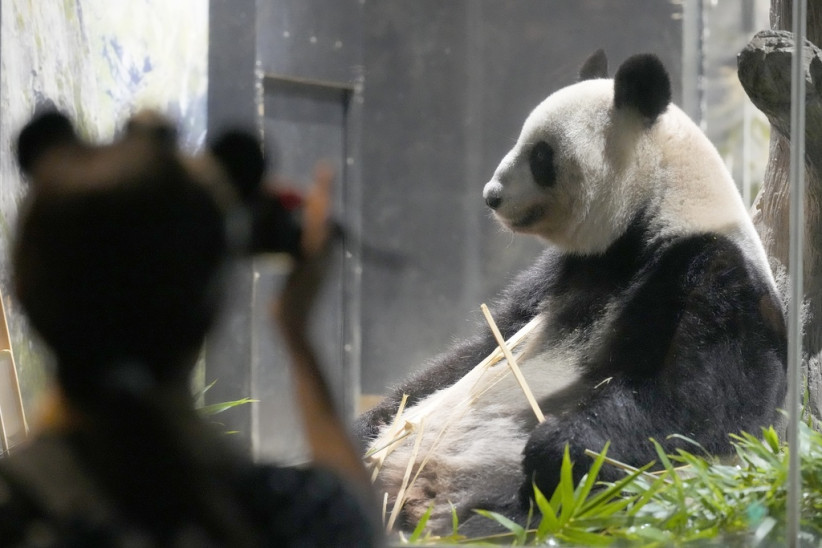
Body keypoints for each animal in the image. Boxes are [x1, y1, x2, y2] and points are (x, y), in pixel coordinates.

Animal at [355, 51, 787, 535]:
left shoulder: (715, 272)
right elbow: (475, 352)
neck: (658, 211)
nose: (492, 195)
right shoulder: (560, 275)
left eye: (541, 155)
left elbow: (702, 401)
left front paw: (557, 444)